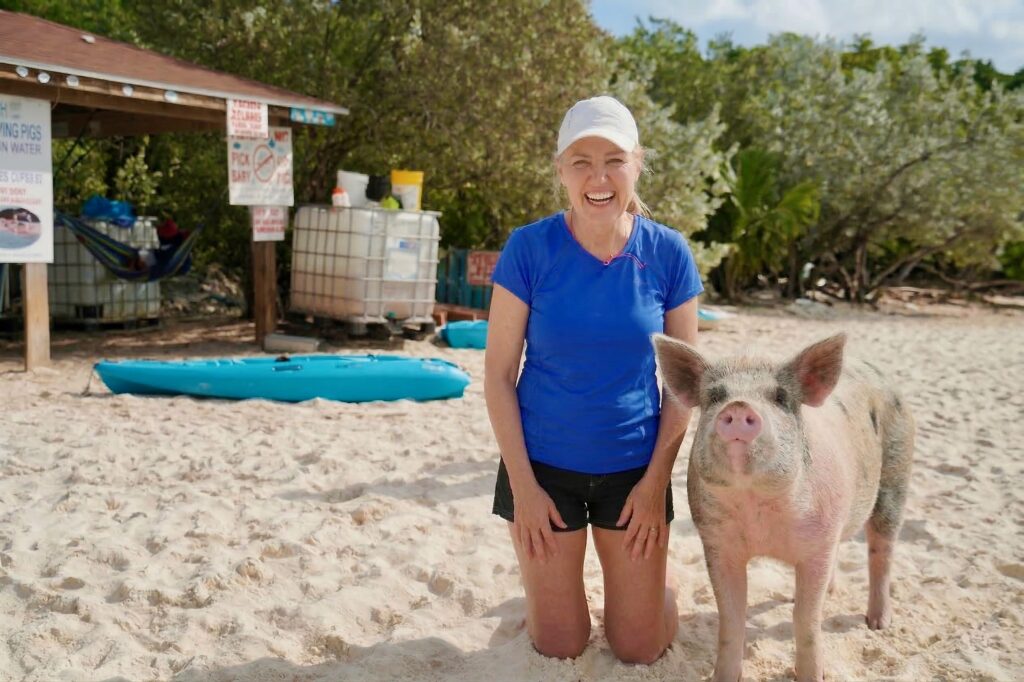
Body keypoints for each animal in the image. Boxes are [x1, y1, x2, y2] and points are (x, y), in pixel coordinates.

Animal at [652, 333, 914, 682]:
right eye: (715, 396)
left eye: (780, 397)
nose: (738, 407)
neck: (757, 507)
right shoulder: (717, 544)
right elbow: (731, 617)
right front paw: (723, 677)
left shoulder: (817, 544)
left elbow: (805, 618)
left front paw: (812, 676)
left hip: (897, 472)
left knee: (882, 550)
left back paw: (877, 624)